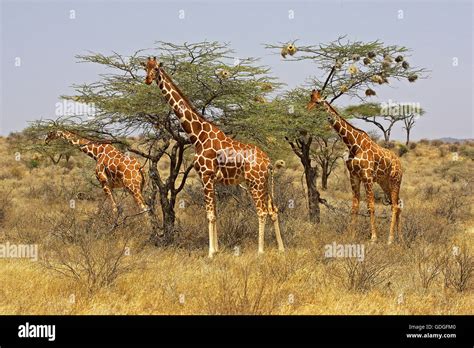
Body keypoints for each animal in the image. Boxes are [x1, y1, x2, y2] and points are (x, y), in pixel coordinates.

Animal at [143, 57, 284, 256]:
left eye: (156, 68)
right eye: (145, 68)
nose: (148, 79)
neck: (197, 135)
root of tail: (269, 162)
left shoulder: (206, 176)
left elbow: (209, 215)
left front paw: (210, 253)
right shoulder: (211, 180)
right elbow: (215, 214)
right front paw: (216, 250)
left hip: (254, 183)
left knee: (262, 211)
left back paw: (260, 251)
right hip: (263, 183)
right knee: (273, 209)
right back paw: (281, 248)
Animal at [308, 89, 404, 245]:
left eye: (317, 102)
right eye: (309, 100)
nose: (306, 112)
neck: (353, 144)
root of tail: (400, 164)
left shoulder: (367, 177)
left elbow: (370, 206)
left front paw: (374, 237)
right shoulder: (354, 177)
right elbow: (355, 207)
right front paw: (351, 235)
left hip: (395, 180)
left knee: (395, 206)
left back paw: (390, 239)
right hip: (385, 183)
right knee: (397, 204)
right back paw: (400, 237)